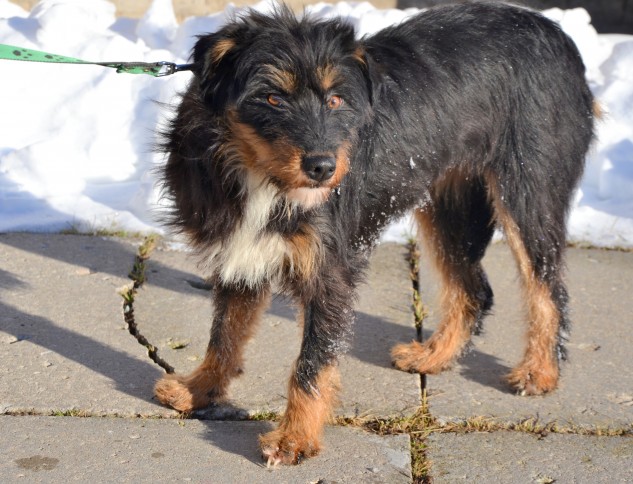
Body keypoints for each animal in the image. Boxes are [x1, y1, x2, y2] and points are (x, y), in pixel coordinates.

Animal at [153, 2, 596, 465]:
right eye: (272, 97)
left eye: (335, 99)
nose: (323, 168)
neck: (258, 174)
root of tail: (557, 34)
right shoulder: (241, 255)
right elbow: (224, 335)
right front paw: (199, 389)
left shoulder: (331, 272)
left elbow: (312, 363)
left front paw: (294, 438)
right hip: (448, 205)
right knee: (473, 288)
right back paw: (434, 355)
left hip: (528, 194)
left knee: (547, 288)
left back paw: (540, 371)